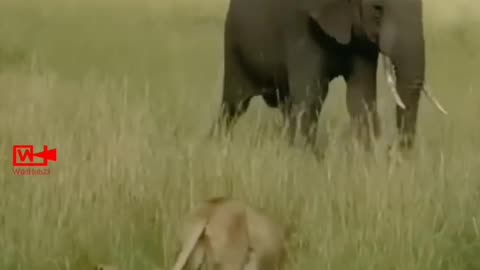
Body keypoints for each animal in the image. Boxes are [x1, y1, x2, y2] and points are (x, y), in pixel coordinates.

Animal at [212, 0, 444, 154]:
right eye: (377, 9)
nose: (391, 151)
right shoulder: (300, 29)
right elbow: (311, 96)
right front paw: (307, 161)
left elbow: (360, 98)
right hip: (233, 45)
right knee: (233, 106)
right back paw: (217, 144)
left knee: (286, 109)